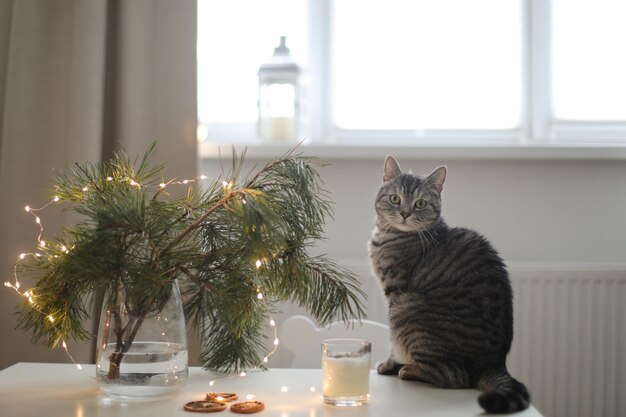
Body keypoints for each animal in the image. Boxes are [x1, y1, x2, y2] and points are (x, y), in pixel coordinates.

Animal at [368, 156, 528, 412]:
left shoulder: (395, 293)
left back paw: (409, 370)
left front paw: (391, 364)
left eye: (420, 203)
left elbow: (393, 342)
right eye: (395, 199)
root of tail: (494, 362)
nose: (404, 213)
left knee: (454, 377)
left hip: (407, 309)